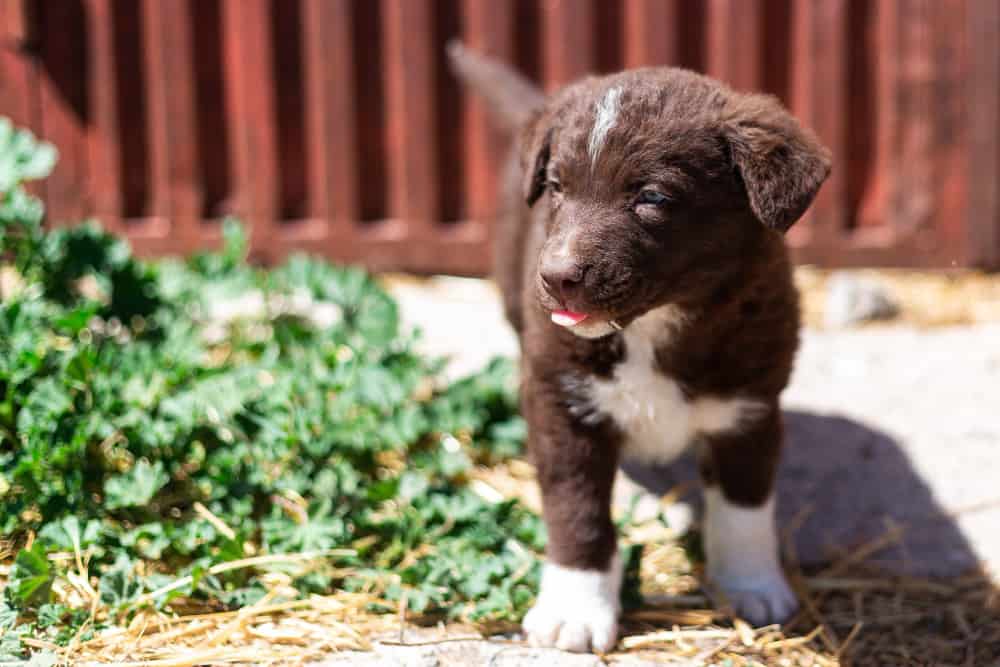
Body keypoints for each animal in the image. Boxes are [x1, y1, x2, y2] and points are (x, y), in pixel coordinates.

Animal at [452, 44, 828, 656]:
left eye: (652, 197)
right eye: (556, 186)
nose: (556, 278)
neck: (652, 329)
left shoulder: (750, 405)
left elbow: (745, 506)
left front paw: (751, 584)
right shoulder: (560, 402)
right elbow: (577, 511)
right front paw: (576, 609)